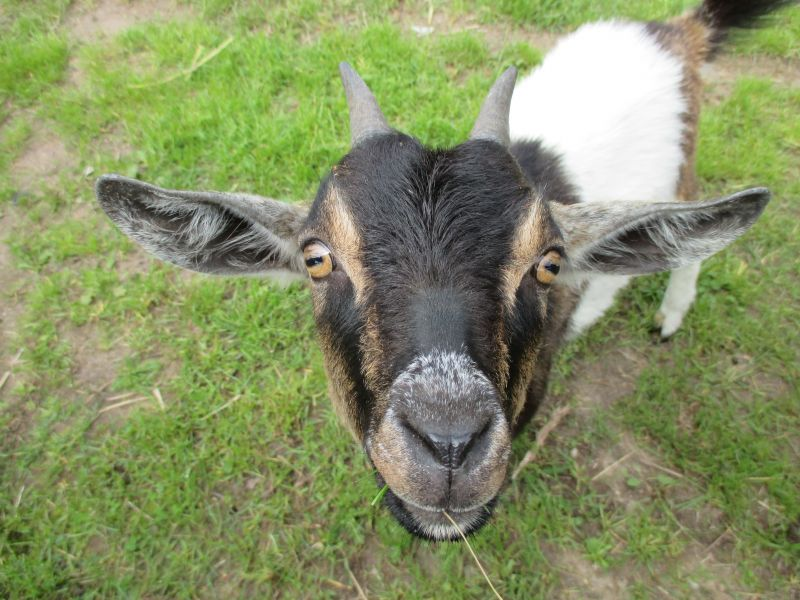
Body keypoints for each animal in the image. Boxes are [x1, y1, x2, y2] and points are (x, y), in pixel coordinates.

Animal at [94, 0, 787, 540]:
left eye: (548, 264)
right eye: (317, 259)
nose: (449, 446)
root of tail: (677, 30)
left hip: (684, 166)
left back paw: (663, 315)